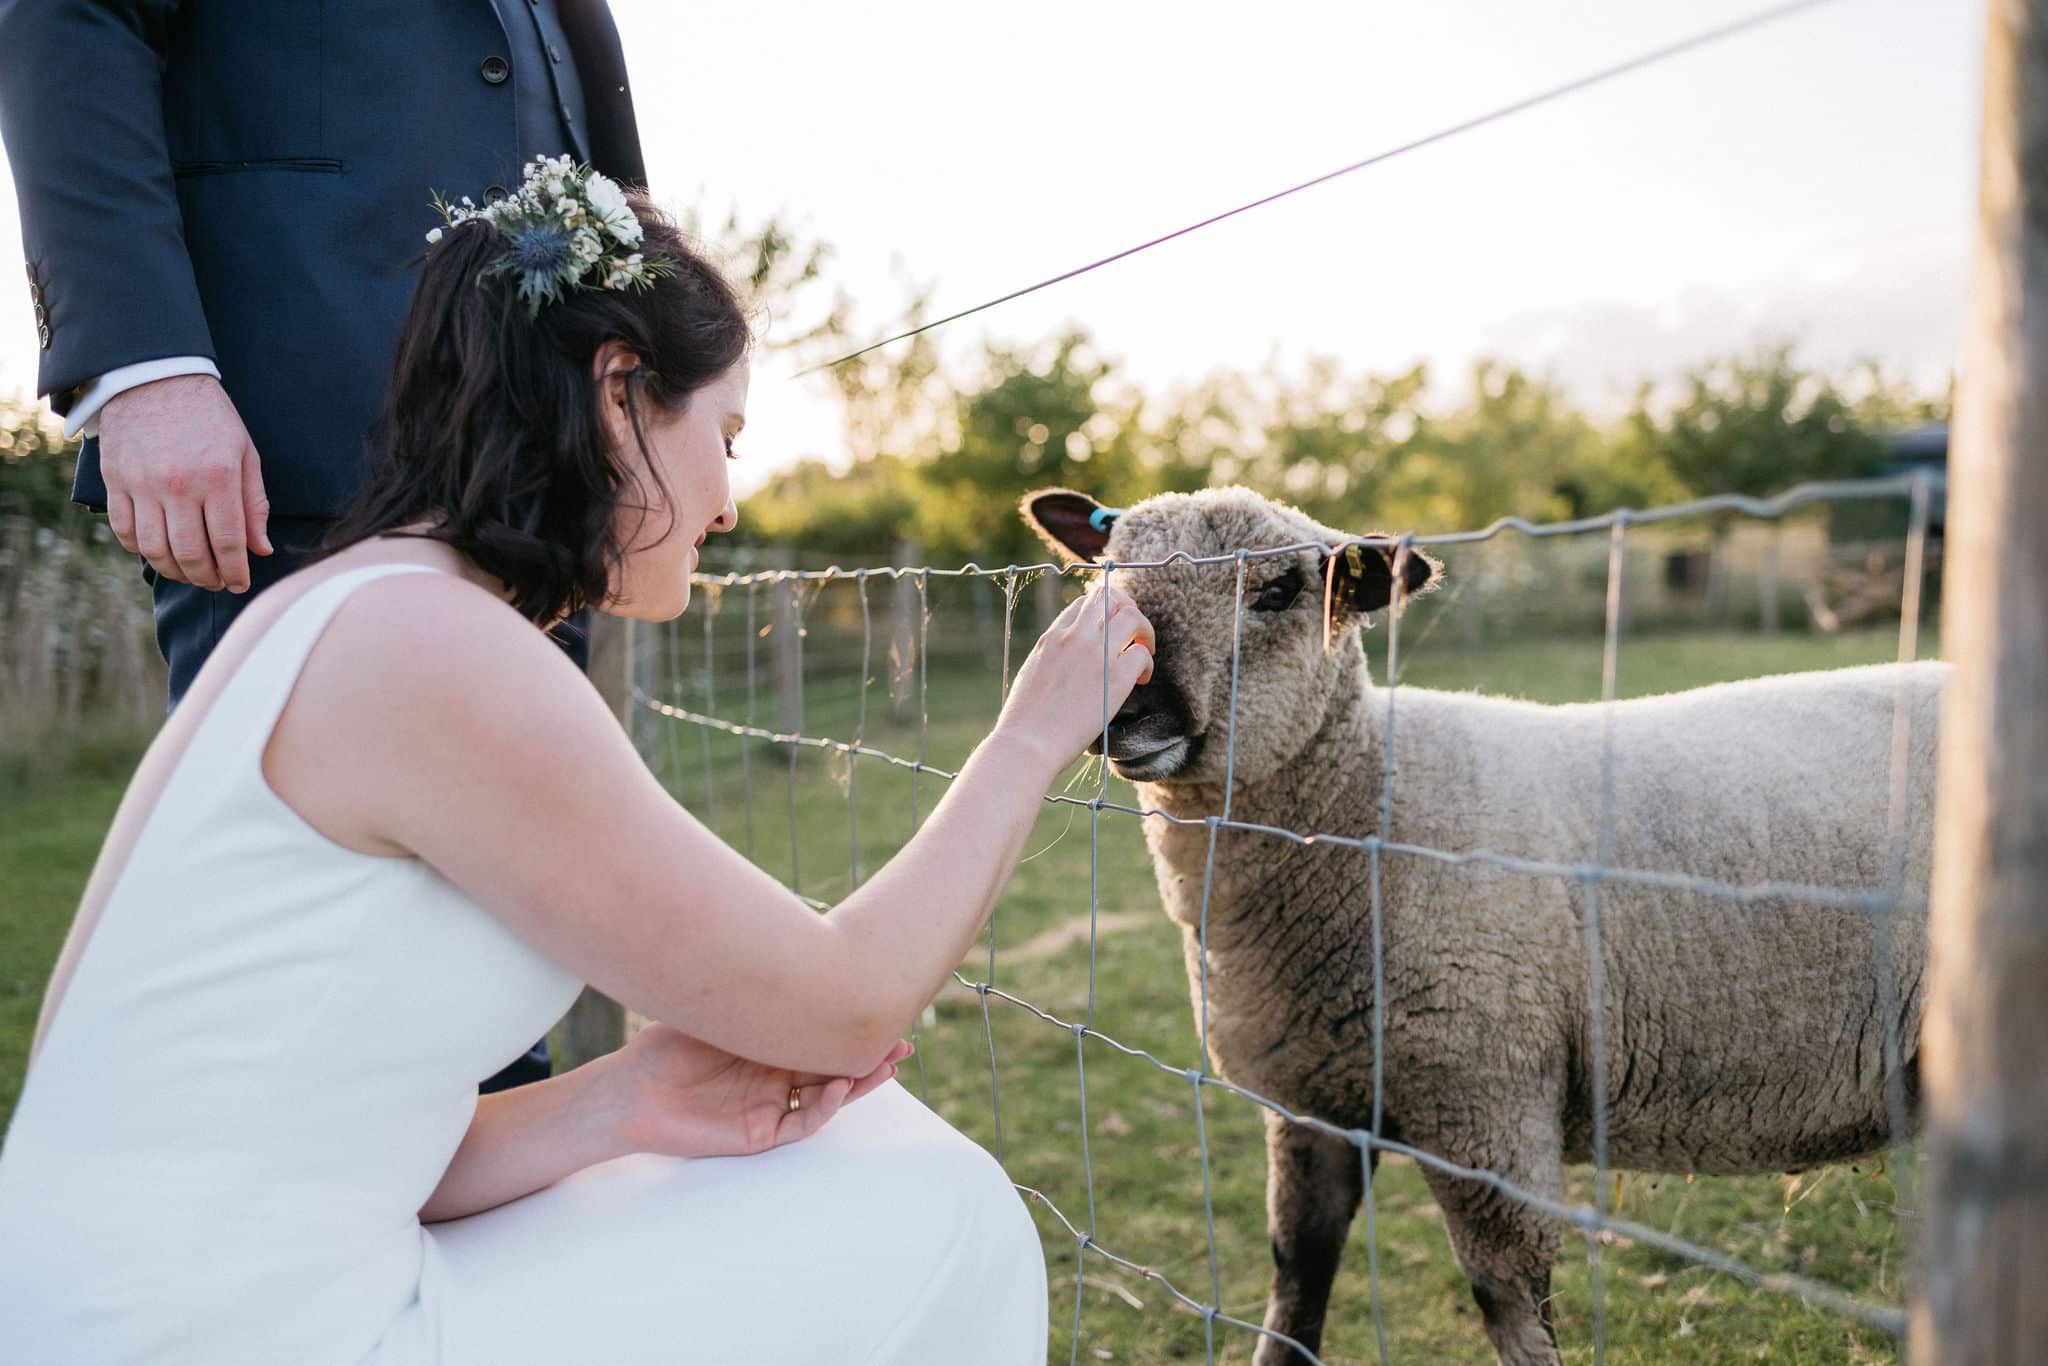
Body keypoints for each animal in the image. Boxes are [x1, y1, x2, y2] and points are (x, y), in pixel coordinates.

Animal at [1020, 484, 1942, 1366]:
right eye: (1106, 577)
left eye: (1279, 590)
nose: (1124, 709)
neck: (1369, 806)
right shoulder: (1312, 1109)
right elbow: (1296, 1279)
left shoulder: (1486, 1106)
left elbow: (1510, 1307)